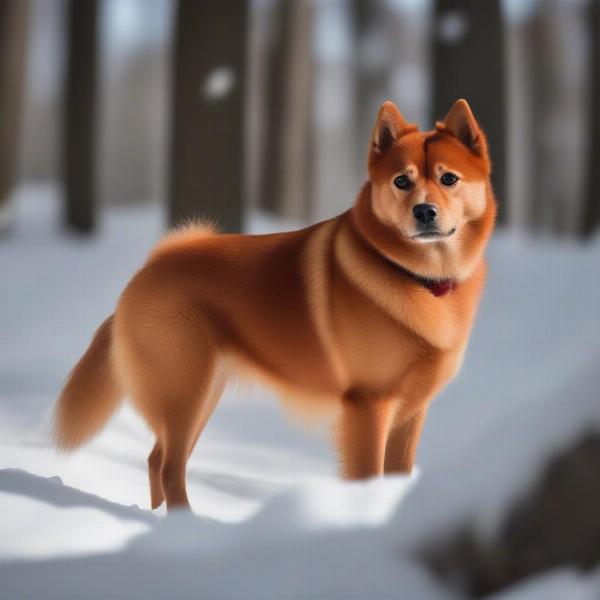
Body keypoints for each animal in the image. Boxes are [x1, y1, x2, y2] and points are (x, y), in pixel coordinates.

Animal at [55, 99, 496, 510]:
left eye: (449, 178)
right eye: (402, 181)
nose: (424, 211)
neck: (419, 278)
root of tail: (148, 269)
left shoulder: (410, 413)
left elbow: (396, 477)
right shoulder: (369, 406)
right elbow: (367, 477)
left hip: (203, 394)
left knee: (155, 460)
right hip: (183, 391)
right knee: (168, 466)